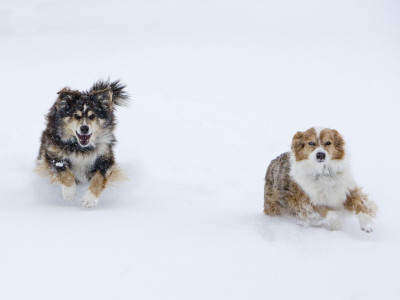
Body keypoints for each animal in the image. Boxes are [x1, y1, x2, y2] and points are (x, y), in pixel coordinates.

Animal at [36, 78, 129, 207]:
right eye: (76, 115)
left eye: (92, 116)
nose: (84, 128)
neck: (81, 148)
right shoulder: (52, 153)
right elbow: (64, 171)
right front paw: (69, 193)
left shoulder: (106, 157)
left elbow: (99, 177)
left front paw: (90, 198)